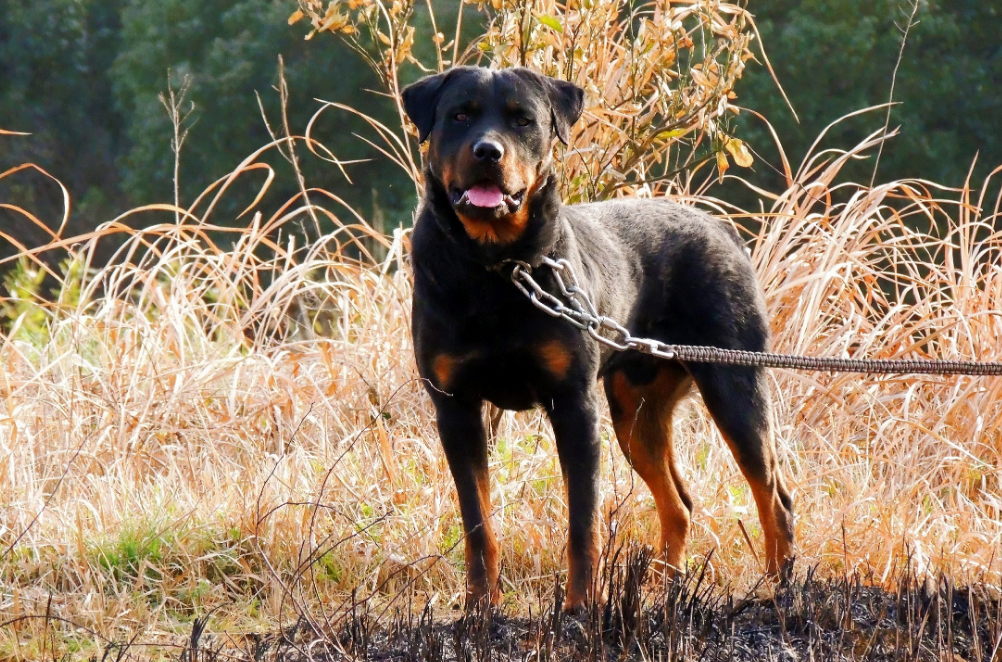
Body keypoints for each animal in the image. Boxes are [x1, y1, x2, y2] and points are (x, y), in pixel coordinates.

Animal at [402, 67, 793, 608]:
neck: (498, 268)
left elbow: (582, 522)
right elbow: (477, 521)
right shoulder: (455, 408)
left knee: (771, 494)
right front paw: (481, 607)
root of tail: (722, 228)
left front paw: (580, 607)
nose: (487, 151)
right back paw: (665, 589)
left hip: (735, 384)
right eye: (460, 115)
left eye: (523, 121)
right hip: (635, 410)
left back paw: (775, 590)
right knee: (680, 502)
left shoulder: (573, 404)